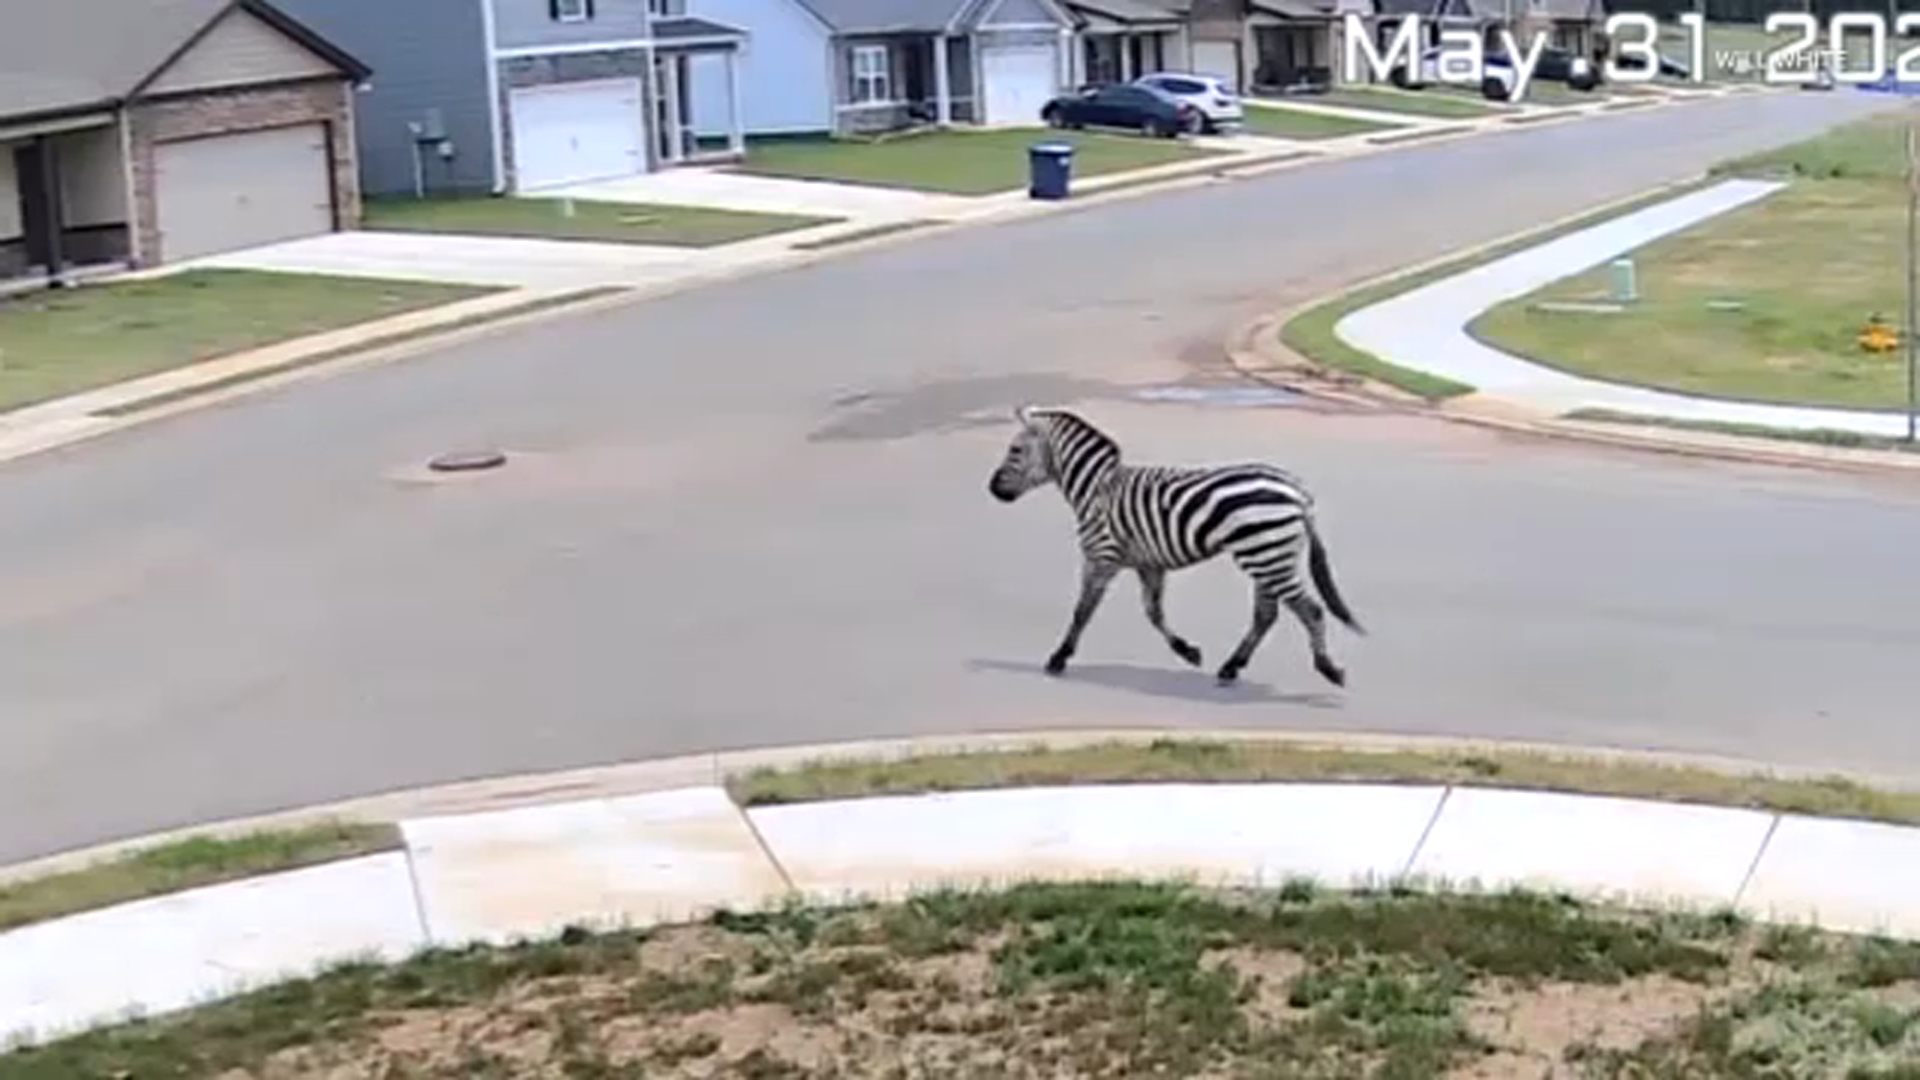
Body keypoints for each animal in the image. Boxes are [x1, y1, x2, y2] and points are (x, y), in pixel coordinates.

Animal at [986, 404, 1364, 687]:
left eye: (1015, 450)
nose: (992, 489)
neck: (1095, 489)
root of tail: (1298, 492)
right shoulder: (1149, 564)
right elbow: (1154, 613)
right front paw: (1188, 651)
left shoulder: (1101, 556)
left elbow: (1083, 610)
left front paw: (1059, 657)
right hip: (1270, 555)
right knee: (1267, 614)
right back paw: (1231, 666)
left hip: (1265, 555)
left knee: (1310, 610)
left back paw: (1330, 669)